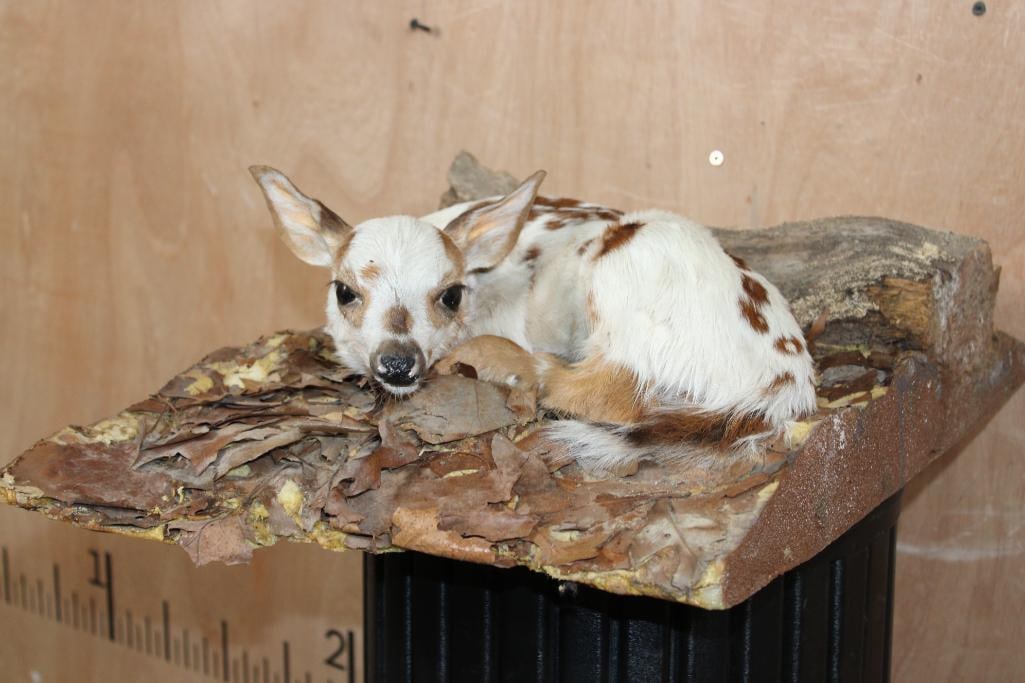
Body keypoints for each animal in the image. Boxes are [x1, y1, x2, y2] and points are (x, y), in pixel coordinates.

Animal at [250, 165, 816, 474]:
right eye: (344, 291)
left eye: (451, 294)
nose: (397, 362)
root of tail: (782, 387)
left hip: (628, 277)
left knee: (615, 390)